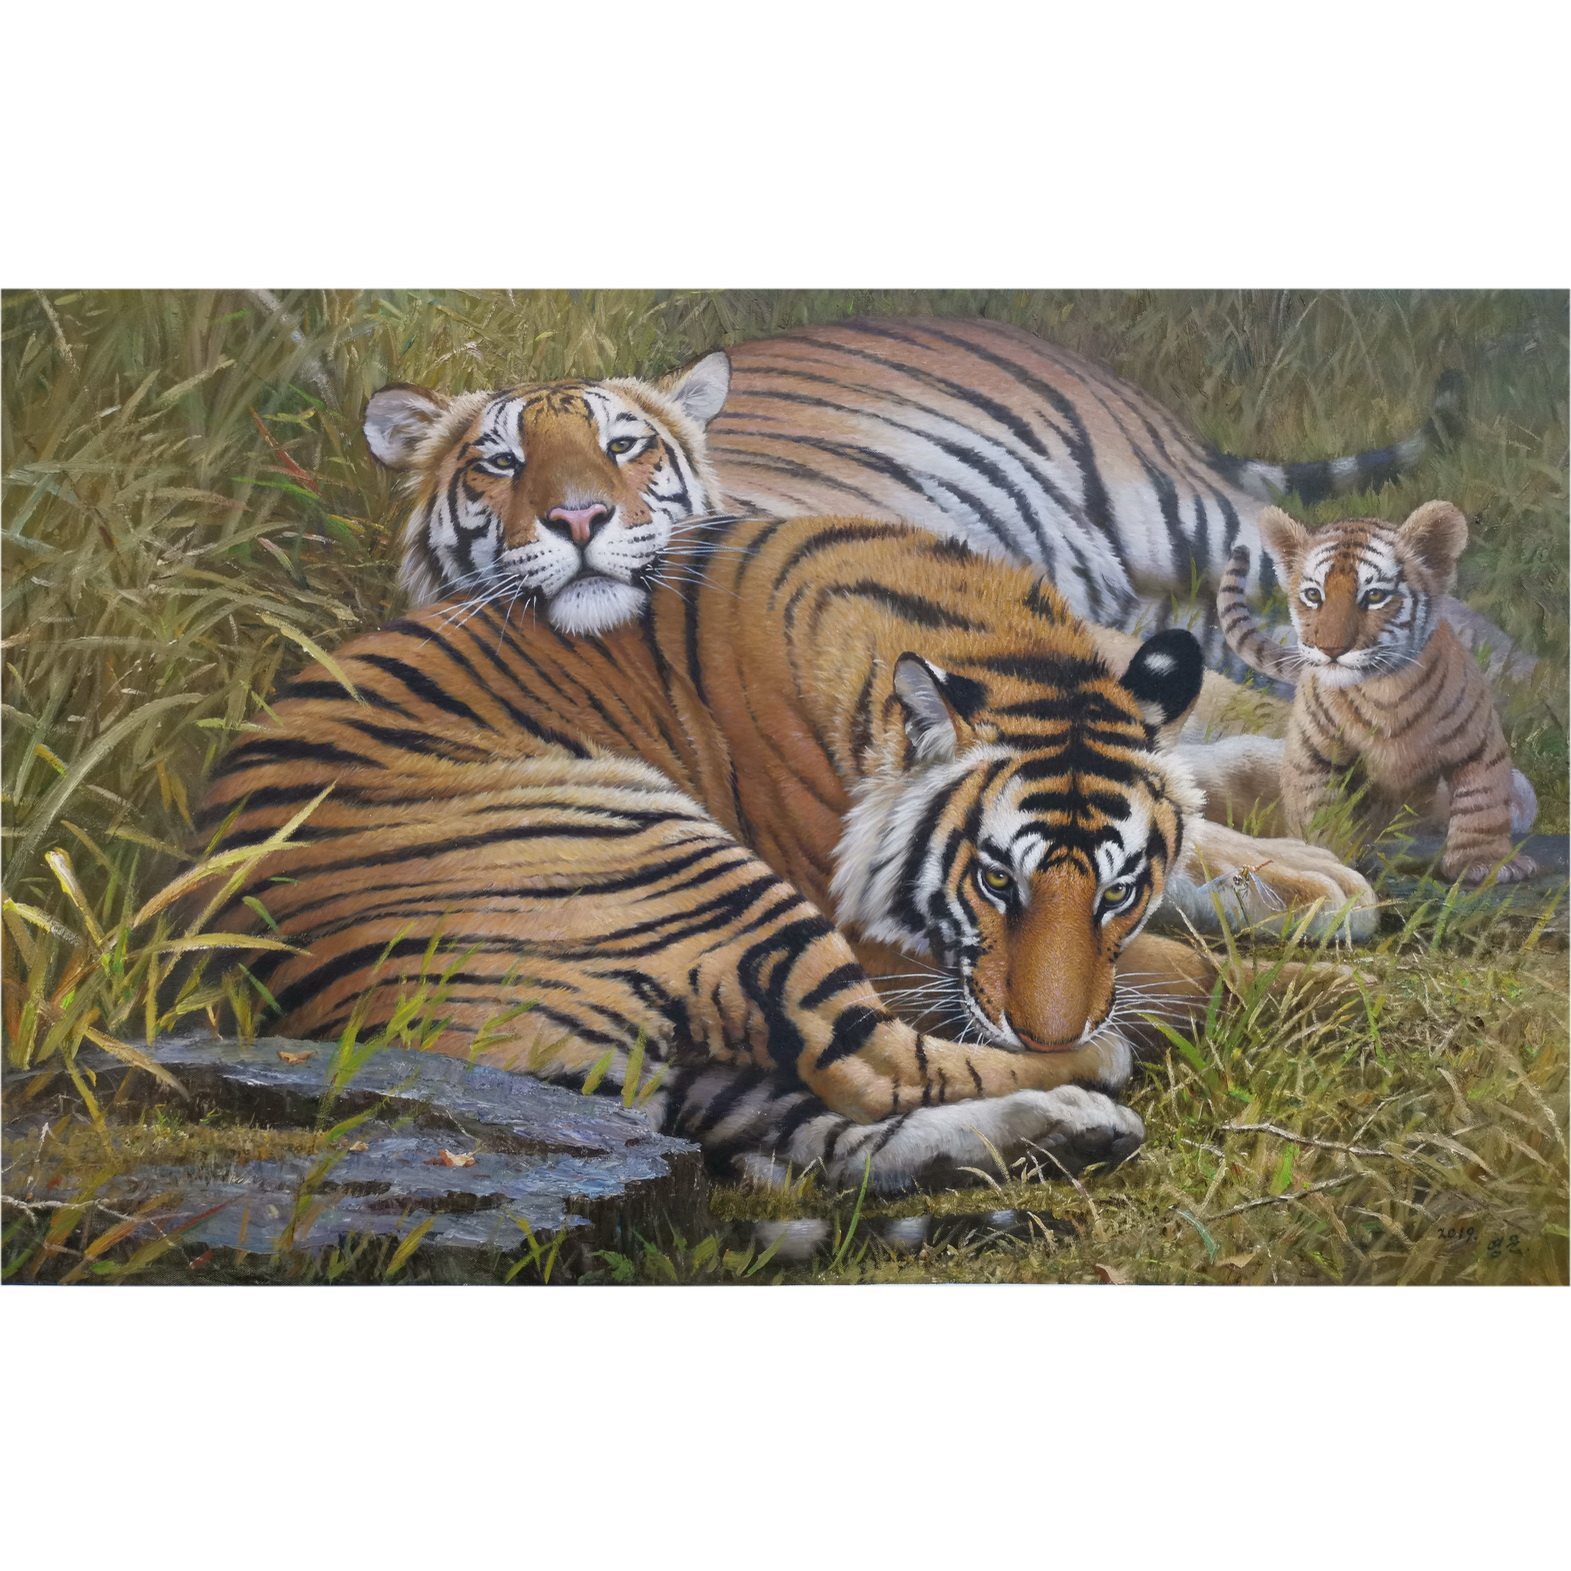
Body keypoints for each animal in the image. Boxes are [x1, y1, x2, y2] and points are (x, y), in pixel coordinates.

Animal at [198, 515, 1376, 1194]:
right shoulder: (892, 941)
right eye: (993, 881)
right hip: (666, 848)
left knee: (846, 1126)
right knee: (874, 1064)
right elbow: (1187, 971)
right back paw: (1093, 1077)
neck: (1006, 644)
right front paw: (1327, 985)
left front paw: (1323, 883)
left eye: (1120, 886)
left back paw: (1070, 1126)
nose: (1057, 1025)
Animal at [1217, 501, 1538, 885]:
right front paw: (1326, 854)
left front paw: (1485, 863)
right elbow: (1317, 808)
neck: (1383, 689)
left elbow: (1482, 801)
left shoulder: (1478, 742)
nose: (1330, 649)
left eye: (1373, 596)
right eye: (1313, 595)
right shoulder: (1313, 752)